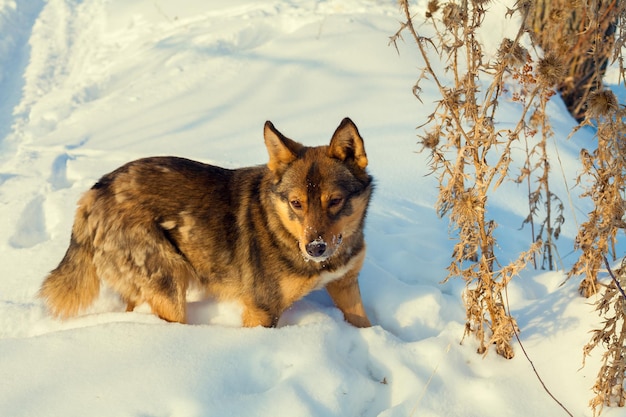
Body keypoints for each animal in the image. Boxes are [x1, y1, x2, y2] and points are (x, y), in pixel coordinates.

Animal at [40, 118, 370, 328]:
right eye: (296, 203)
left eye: (335, 201)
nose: (316, 248)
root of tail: (94, 192)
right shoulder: (262, 310)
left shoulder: (346, 284)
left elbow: (365, 324)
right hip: (169, 288)